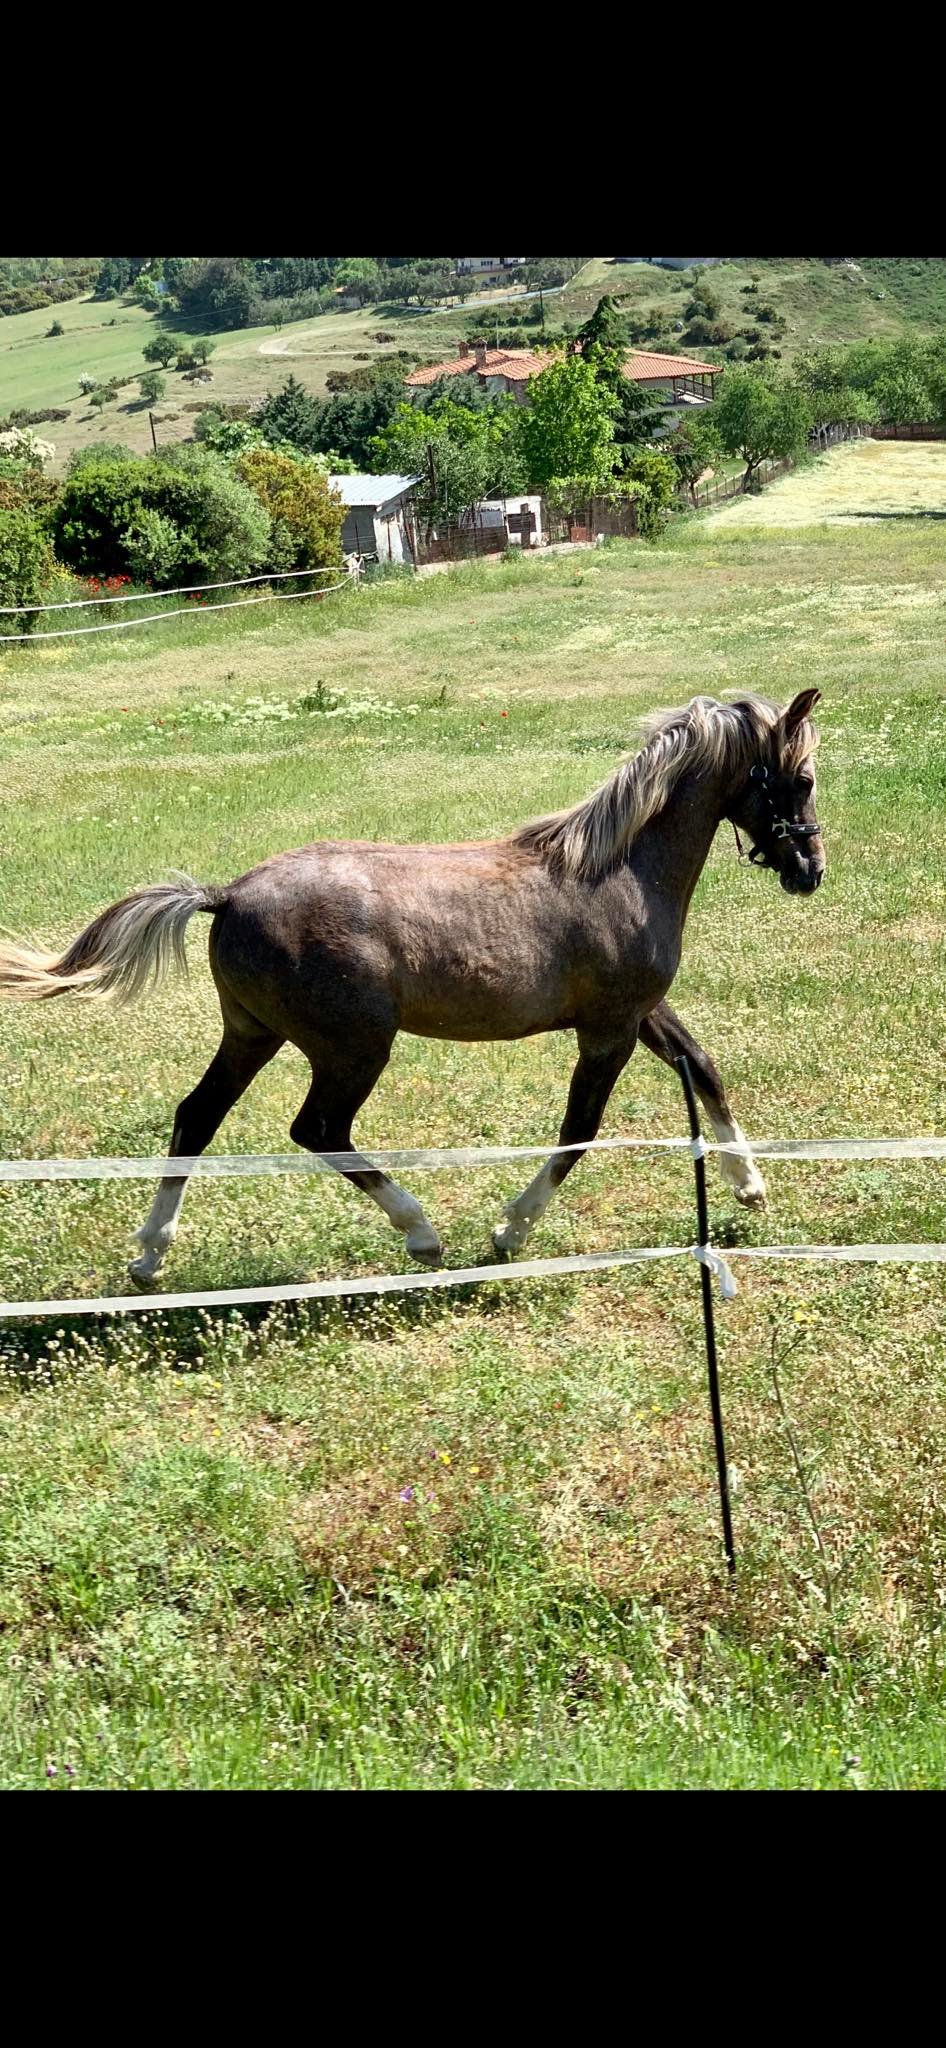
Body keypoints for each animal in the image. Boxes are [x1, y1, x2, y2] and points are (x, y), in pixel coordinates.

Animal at [0, 688, 824, 1285]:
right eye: (804, 778)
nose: (810, 872)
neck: (617, 871)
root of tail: (226, 895)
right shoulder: (609, 1028)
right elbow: (578, 1131)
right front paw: (508, 1230)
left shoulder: (641, 1012)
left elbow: (704, 1068)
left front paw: (750, 1185)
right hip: (352, 1049)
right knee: (317, 1131)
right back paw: (422, 1234)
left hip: (252, 1034)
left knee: (196, 1118)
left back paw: (149, 1255)